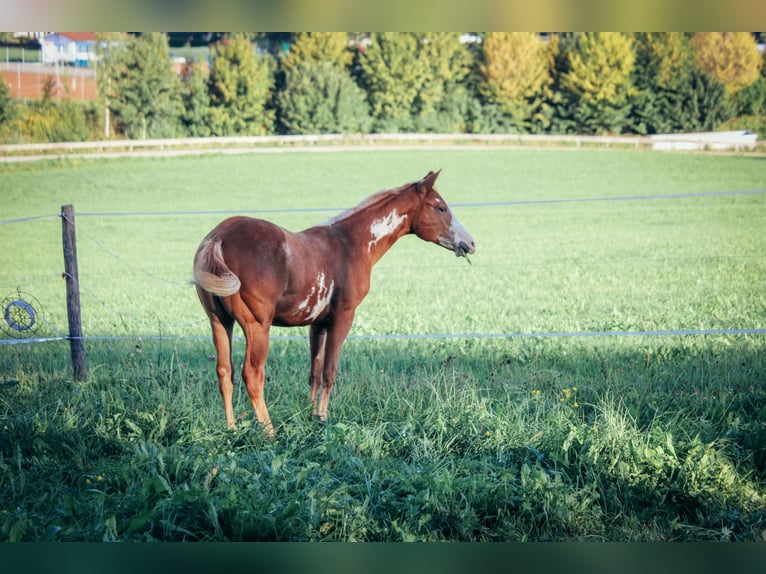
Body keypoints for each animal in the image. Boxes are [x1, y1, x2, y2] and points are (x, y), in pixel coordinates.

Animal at [194, 171, 474, 436]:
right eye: (440, 207)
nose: (470, 243)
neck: (351, 243)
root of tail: (218, 237)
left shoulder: (317, 324)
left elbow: (315, 373)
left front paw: (310, 416)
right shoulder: (343, 318)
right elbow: (329, 372)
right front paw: (323, 419)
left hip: (219, 322)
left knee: (224, 372)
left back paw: (231, 429)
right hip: (256, 326)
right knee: (252, 375)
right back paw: (269, 432)